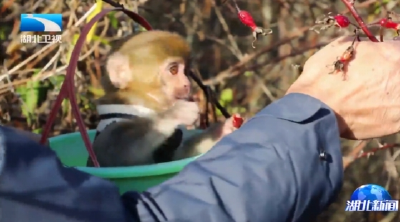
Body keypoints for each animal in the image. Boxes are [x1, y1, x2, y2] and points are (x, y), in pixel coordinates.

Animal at [88, 30, 241, 166]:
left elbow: (178, 157)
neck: (144, 101)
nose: (187, 84)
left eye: (186, 71)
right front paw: (176, 113)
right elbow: (111, 151)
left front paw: (223, 130)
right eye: (173, 70)